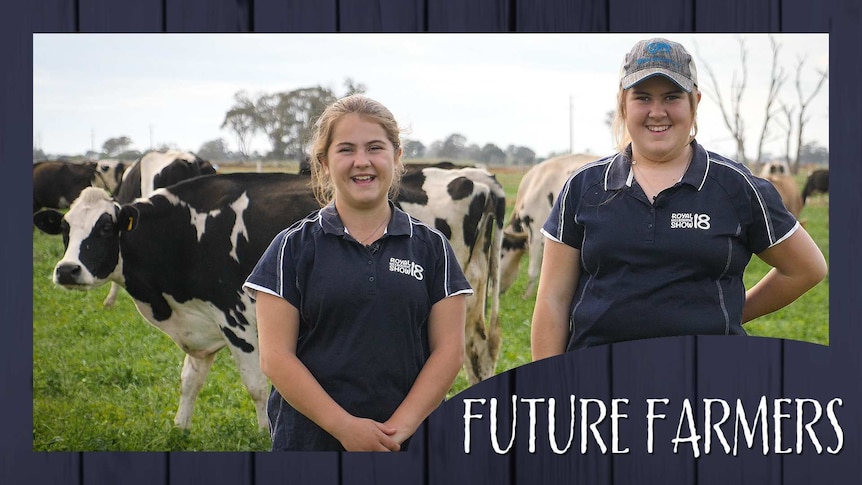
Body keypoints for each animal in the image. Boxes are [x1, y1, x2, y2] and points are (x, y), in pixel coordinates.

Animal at [31, 173, 320, 428]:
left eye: (104, 227)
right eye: (65, 228)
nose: (67, 270)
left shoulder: (236, 318)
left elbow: (257, 386)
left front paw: (262, 433)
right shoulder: (200, 323)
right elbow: (189, 381)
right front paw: (179, 429)